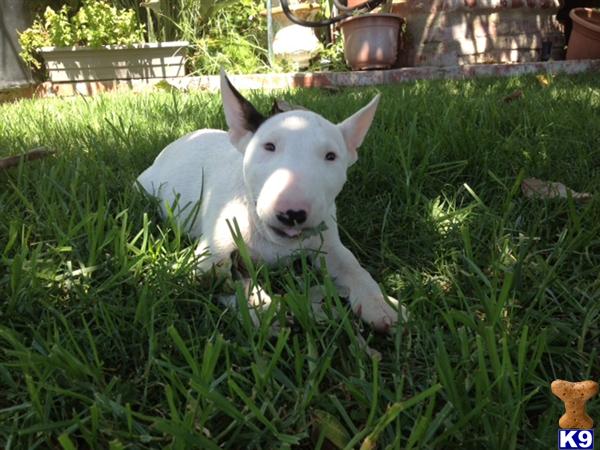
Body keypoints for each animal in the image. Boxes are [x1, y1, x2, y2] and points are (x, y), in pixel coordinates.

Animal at [138, 70, 406, 330]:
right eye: (269, 146)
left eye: (331, 156)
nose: (292, 213)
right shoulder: (209, 256)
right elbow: (229, 280)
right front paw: (265, 309)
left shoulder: (328, 242)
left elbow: (351, 264)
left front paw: (381, 304)